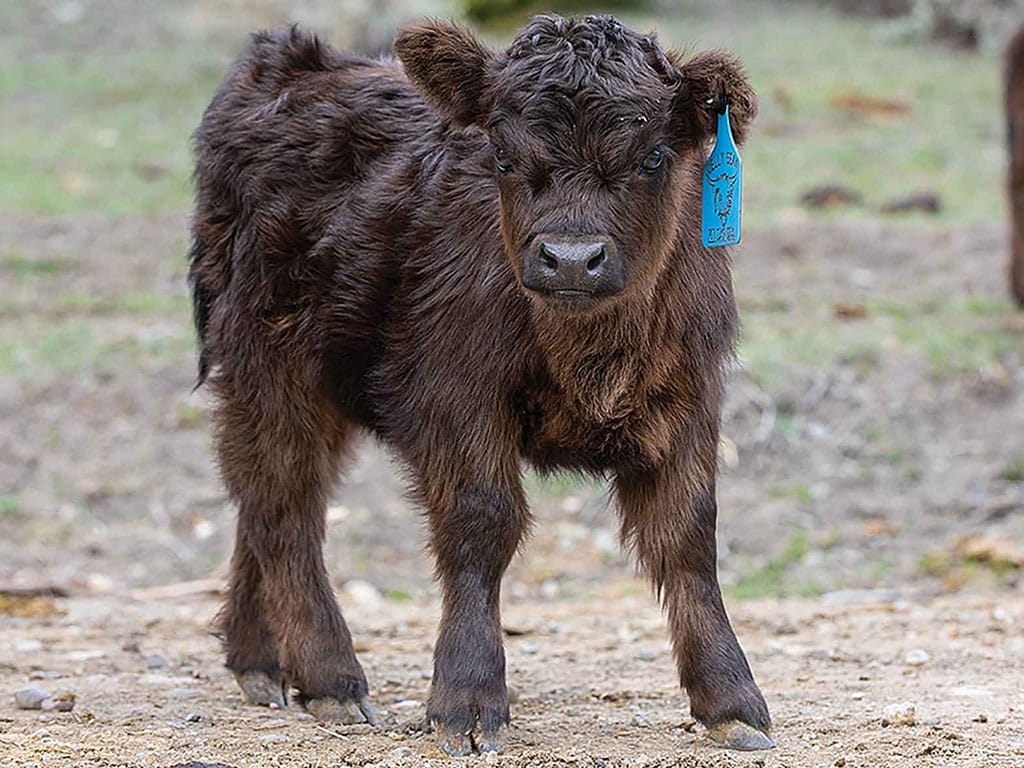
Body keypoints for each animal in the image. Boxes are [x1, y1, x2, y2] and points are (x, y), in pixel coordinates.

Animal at [190, 13, 770, 757]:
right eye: (500, 153)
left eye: (653, 157)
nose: (571, 260)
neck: (590, 350)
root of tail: (290, 60)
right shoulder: (456, 396)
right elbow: (482, 523)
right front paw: (468, 701)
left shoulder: (690, 397)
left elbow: (688, 535)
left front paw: (731, 697)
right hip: (268, 365)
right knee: (283, 502)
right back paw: (329, 677)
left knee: (264, 495)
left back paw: (258, 661)